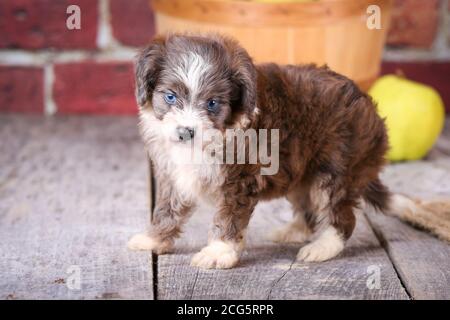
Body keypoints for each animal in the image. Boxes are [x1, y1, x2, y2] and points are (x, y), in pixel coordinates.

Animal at [127, 33, 450, 268]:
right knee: (308, 208)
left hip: (336, 170)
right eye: (170, 97)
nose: (185, 132)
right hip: (302, 173)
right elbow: (167, 209)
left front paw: (218, 252)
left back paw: (321, 248)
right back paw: (294, 232)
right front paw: (154, 239)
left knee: (342, 217)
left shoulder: (239, 179)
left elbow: (228, 217)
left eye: (212, 104)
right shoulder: (173, 175)